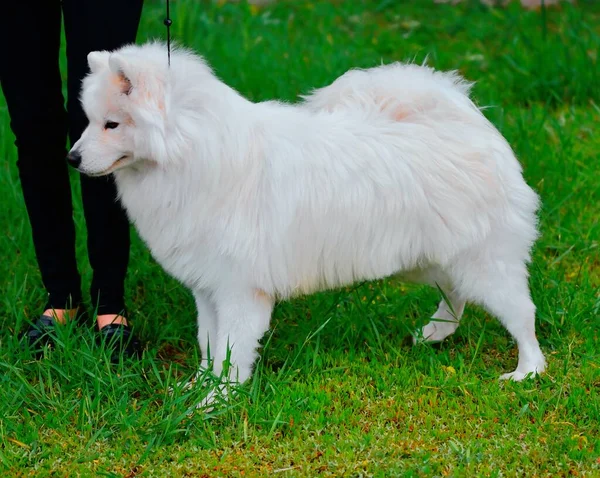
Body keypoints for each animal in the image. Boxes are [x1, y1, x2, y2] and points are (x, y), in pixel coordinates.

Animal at [69, 42, 544, 392]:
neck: (194, 155)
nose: (71, 158)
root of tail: (466, 121)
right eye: (88, 121)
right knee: (454, 293)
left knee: (521, 314)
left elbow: (231, 350)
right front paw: (200, 387)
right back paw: (435, 333)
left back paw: (526, 372)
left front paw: (218, 400)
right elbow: (209, 346)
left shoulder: (240, 290)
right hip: (428, 257)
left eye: (112, 124)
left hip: (482, 262)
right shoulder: (208, 288)